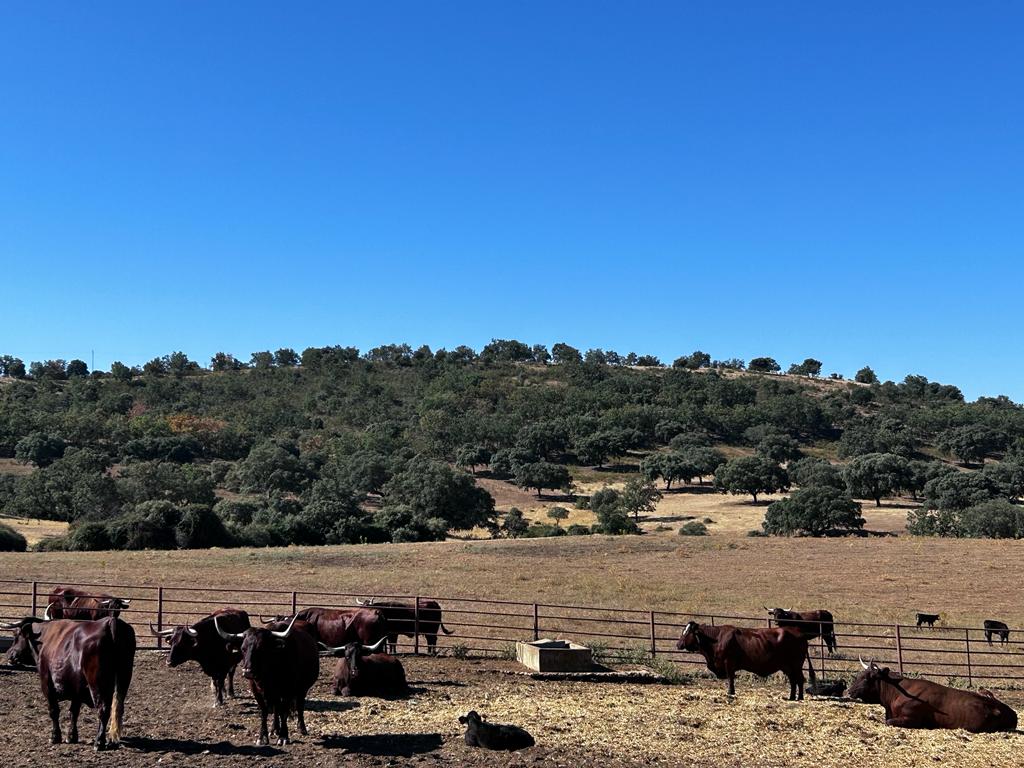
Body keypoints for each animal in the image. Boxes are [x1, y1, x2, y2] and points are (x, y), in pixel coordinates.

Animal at [1, 618, 135, 753]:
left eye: (16, 635)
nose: (9, 654)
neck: (44, 639)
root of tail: (111, 622)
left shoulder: (47, 684)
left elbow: (54, 711)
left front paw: (55, 736)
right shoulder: (77, 689)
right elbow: (74, 712)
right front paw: (71, 736)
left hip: (97, 684)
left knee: (103, 710)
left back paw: (99, 742)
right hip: (123, 680)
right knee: (117, 709)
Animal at [218, 614, 321, 745]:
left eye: (261, 648)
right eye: (243, 648)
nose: (247, 671)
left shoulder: (287, 691)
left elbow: (284, 712)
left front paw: (283, 736)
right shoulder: (257, 691)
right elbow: (265, 711)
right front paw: (262, 736)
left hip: (302, 689)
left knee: (299, 705)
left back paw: (301, 728)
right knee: (277, 709)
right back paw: (274, 729)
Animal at [675, 622, 811, 700]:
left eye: (687, 633)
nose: (678, 644)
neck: (716, 639)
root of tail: (799, 632)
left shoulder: (729, 663)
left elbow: (731, 678)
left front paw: (730, 692)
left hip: (796, 665)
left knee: (799, 680)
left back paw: (800, 698)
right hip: (787, 667)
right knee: (793, 681)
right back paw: (791, 697)